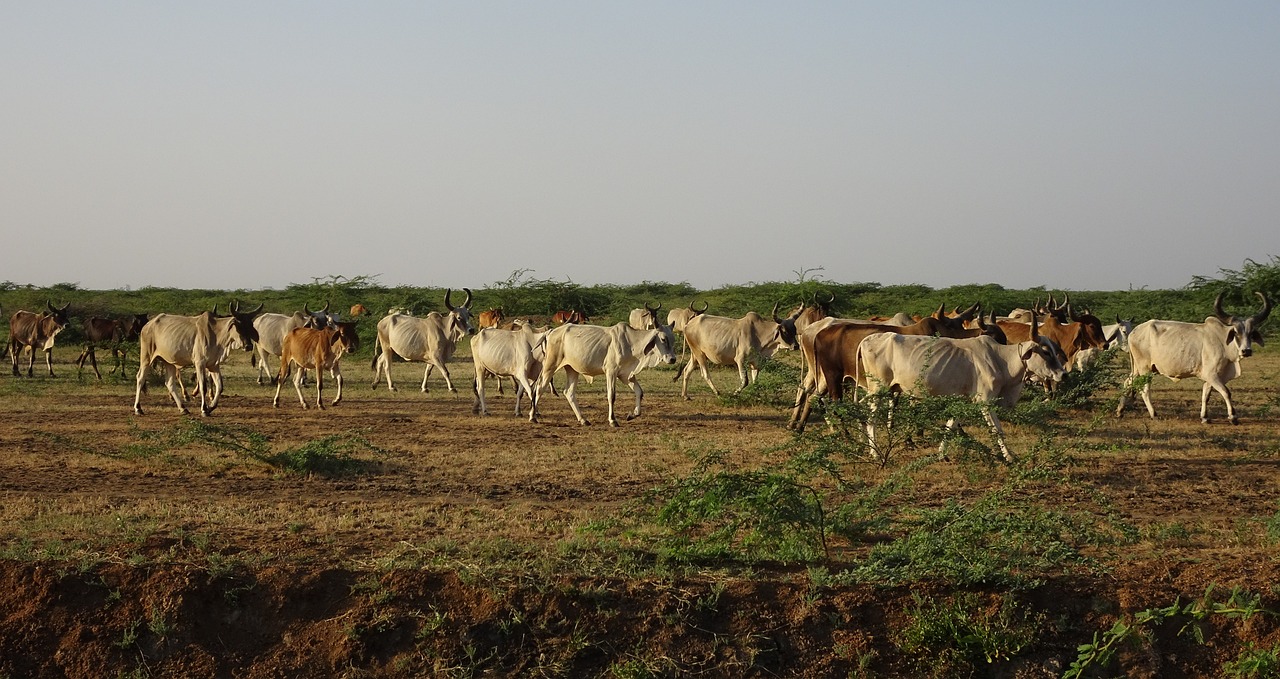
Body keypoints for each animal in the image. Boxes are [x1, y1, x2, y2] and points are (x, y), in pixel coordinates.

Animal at [131, 302, 261, 417]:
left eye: (250, 325)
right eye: (239, 325)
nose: (248, 346)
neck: (216, 333)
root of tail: (147, 325)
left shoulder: (213, 365)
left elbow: (220, 386)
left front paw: (211, 407)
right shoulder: (200, 363)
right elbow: (203, 386)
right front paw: (204, 410)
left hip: (169, 362)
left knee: (169, 383)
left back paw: (183, 408)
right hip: (146, 357)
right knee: (140, 377)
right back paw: (138, 408)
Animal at [540, 317, 680, 422]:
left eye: (673, 339)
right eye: (663, 339)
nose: (673, 359)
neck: (631, 343)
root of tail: (551, 331)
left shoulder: (626, 375)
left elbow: (639, 392)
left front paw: (633, 414)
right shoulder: (611, 372)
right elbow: (611, 395)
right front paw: (613, 420)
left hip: (572, 369)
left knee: (568, 392)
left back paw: (583, 420)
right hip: (550, 365)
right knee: (540, 387)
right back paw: (535, 416)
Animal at [860, 322, 1070, 458]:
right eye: (1045, 351)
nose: (1063, 375)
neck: (1000, 359)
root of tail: (867, 340)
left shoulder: (963, 399)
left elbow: (950, 426)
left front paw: (941, 454)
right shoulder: (985, 402)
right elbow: (997, 430)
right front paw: (1009, 457)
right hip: (878, 389)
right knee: (871, 419)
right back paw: (874, 453)